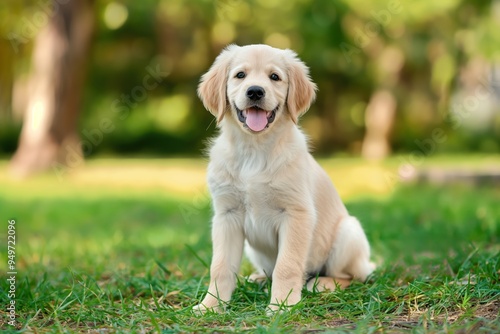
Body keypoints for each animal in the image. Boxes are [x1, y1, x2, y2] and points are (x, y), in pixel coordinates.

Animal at [193, 44, 374, 314]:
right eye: (240, 75)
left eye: (274, 77)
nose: (255, 91)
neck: (254, 150)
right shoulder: (227, 215)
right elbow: (221, 267)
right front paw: (211, 305)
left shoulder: (296, 214)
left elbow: (287, 266)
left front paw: (281, 305)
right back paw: (257, 279)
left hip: (348, 232)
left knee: (353, 276)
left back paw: (322, 283)